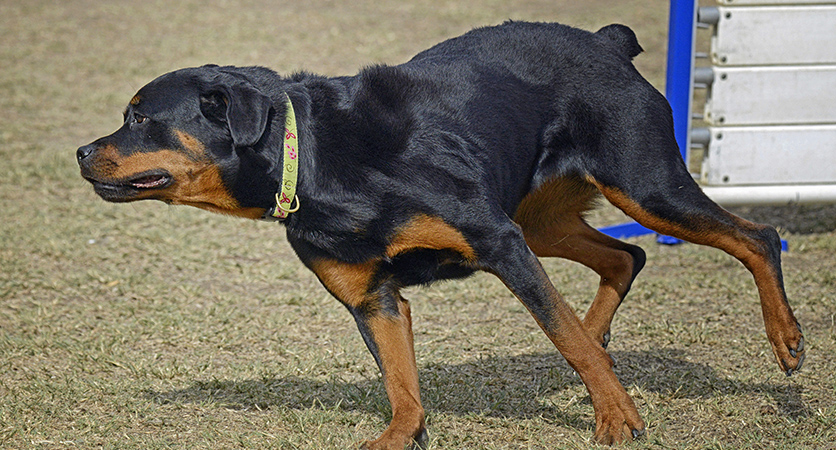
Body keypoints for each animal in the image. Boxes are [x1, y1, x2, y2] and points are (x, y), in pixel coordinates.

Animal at [78, 20, 804, 446]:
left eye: (140, 118)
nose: (82, 152)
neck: (311, 161)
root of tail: (605, 41)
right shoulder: (375, 299)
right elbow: (401, 386)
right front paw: (401, 437)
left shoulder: (499, 243)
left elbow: (565, 336)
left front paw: (616, 419)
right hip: (543, 221)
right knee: (624, 258)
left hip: (643, 187)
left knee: (756, 237)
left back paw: (786, 341)